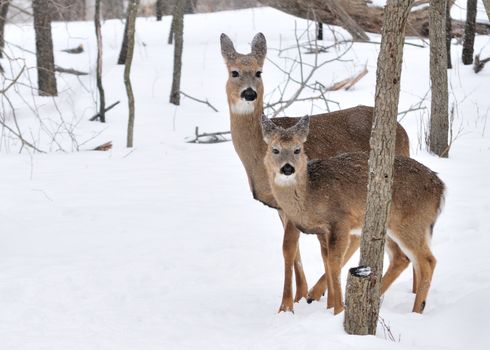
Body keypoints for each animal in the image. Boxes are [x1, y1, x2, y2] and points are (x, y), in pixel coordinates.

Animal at [222, 32, 414, 312]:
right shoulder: (283, 207)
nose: (249, 93)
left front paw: (287, 305)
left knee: (392, 250)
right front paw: (300, 296)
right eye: (234, 72)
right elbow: (296, 251)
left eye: (259, 72)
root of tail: (403, 131)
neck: (258, 155)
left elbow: (288, 248)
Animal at [262, 115, 446, 314]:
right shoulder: (323, 230)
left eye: (298, 149)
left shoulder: (341, 220)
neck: (310, 196)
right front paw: (329, 306)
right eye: (275, 149)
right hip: (390, 225)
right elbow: (324, 260)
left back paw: (416, 310)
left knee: (427, 261)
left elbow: (334, 262)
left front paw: (337, 309)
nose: (287, 168)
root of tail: (441, 188)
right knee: (402, 258)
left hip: (411, 223)